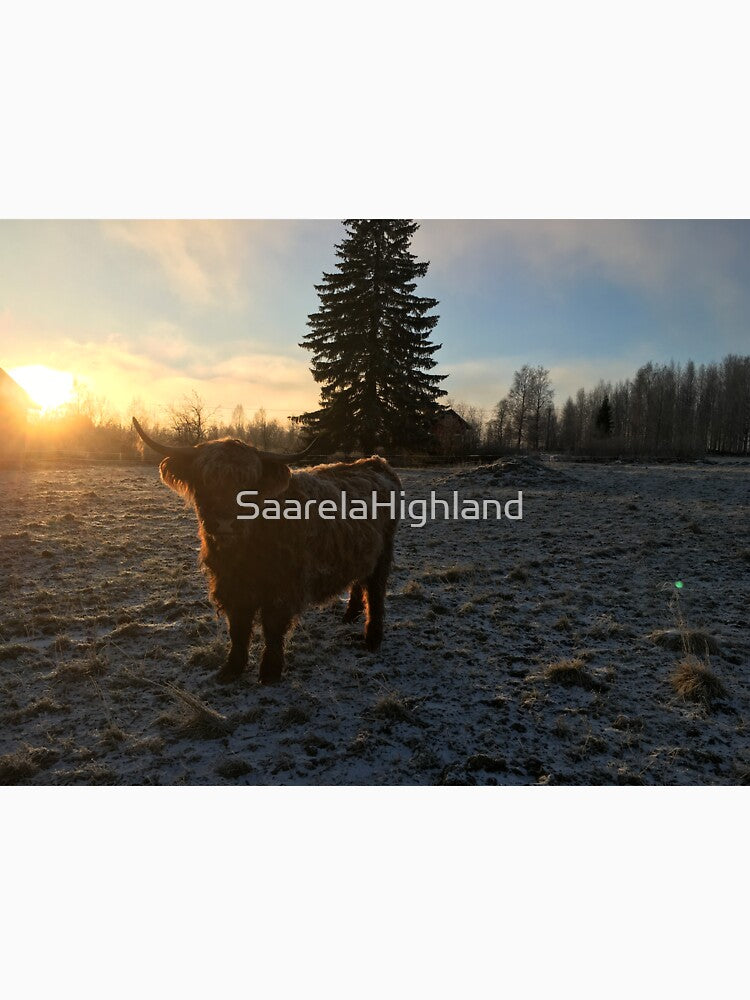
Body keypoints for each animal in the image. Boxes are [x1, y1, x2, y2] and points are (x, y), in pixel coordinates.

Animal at [132, 418, 400, 684]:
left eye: (249, 484)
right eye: (205, 480)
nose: (225, 522)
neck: (243, 552)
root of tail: (375, 462)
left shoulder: (281, 588)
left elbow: (272, 628)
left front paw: (270, 671)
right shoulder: (231, 587)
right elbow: (238, 629)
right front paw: (232, 668)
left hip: (384, 552)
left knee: (375, 592)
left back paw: (372, 638)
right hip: (361, 551)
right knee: (360, 581)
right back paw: (350, 615)